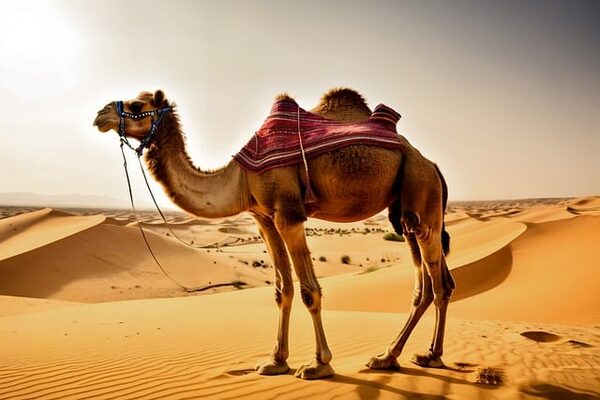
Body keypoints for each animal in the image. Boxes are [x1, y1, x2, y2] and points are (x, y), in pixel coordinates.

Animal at [92, 89, 454, 380]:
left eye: (137, 106)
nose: (101, 114)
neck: (238, 177)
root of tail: (433, 164)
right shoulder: (263, 218)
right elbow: (283, 290)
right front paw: (275, 361)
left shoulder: (288, 214)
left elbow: (309, 291)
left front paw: (319, 365)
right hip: (403, 213)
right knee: (428, 284)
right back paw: (388, 357)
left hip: (421, 191)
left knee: (437, 284)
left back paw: (431, 356)